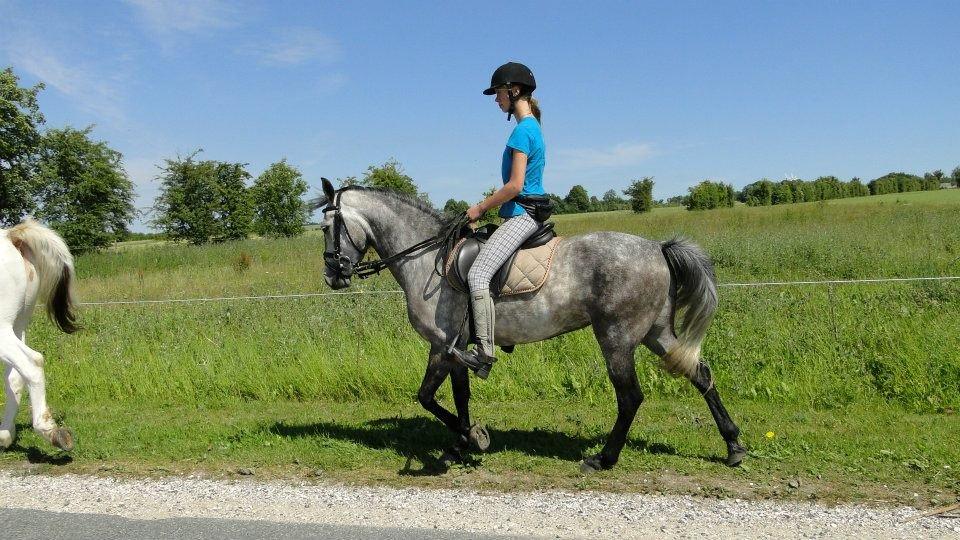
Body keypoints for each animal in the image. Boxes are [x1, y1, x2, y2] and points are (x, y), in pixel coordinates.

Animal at [0, 218, 77, 452]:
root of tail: (10, 236)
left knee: (31, 363)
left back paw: (51, 432)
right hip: (17, 326)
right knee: (15, 376)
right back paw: (4, 435)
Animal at [316, 179, 752, 470]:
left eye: (324, 228)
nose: (333, 276)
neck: (428, 259)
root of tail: (658, 249)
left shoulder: (441, 344)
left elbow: (426, 397)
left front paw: (471, 439)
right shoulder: (456, 349)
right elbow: (459, 397)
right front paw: (461, 443)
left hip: (617, 338)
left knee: (630, 397)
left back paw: (604, 458)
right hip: (656, 333)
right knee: (700, 373)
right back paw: (733, 447)